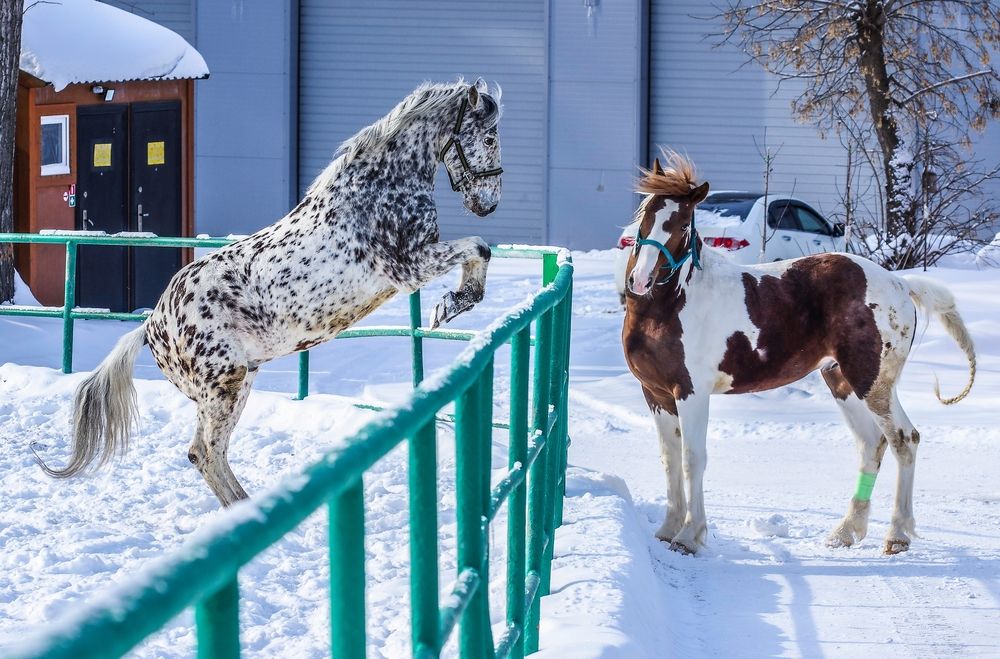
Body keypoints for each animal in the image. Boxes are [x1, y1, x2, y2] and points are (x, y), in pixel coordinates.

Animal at [38, 79, 504, 506]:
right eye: (490, 138)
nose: (489, 204)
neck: (379, 188)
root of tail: (152, 326)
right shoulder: (409, 267)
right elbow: (479, 247)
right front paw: (450, 306)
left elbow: (478, 250)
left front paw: (452, 305)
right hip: (223, 387)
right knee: (207, 453)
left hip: (235, 384)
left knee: (204, 453)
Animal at [621, 151, 976, 555]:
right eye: (646, 214)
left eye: (682, 224)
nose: (640, 281)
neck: (668, 307)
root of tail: (900, 283)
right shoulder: (657, 394)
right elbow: (670, 459)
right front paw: (668, 529)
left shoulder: (691, 393)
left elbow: (692, 459)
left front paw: (689, 536)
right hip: (841, 382)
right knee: (872, 444)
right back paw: (845, 532)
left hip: (873, 384)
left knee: (904, 439)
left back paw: (896, 536)